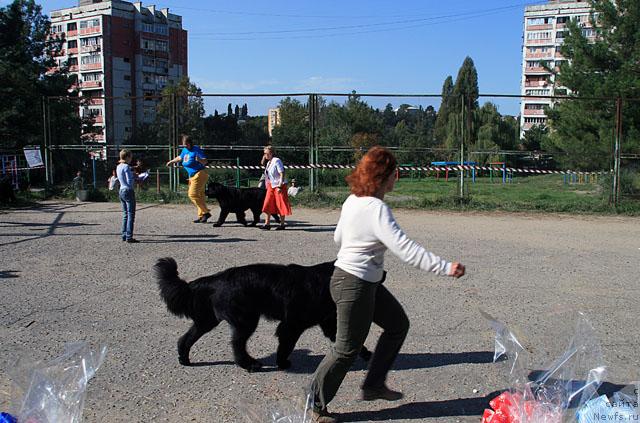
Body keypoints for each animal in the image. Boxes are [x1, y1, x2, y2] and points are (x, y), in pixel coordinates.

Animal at [154, 256, 370, 372]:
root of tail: (218, 278)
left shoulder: (327, 323)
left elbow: (351, 342)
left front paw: (368, 354)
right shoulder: (291, 325)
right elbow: (285, 346)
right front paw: (282, 363)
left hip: (208, 320)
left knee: (186, 339)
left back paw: (184, 359)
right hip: (246, 320)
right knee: (237, 344)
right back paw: (248, 364)